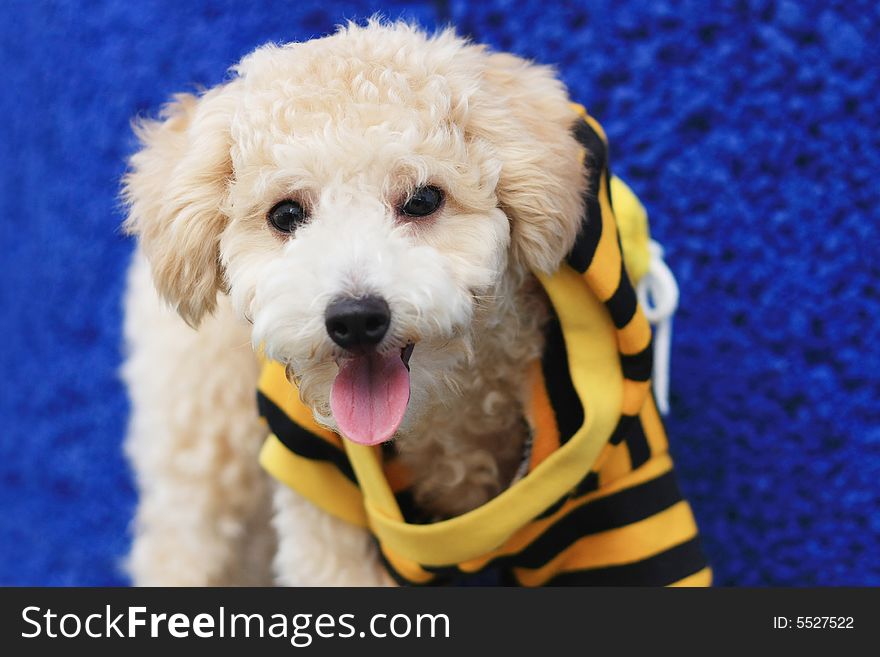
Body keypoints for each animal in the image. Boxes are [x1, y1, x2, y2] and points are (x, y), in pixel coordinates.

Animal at [122, 20, 708, 584]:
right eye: (285, 214)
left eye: (424, 199)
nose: (355, 318)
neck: (443, 420)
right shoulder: (314, 480)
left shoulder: (616, 498)